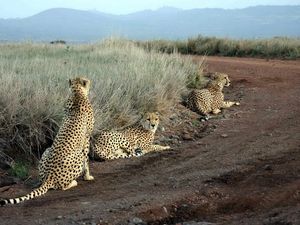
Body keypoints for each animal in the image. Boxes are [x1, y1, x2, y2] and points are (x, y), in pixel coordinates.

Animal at [0, 77, 94, 206]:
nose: (90, 81)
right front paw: (88, 176)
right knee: (61, 187)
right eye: (86, 81)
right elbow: (86, 159)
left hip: (47, 150)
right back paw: (73, 182)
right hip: (77, 156)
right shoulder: (87, 139)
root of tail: (49, 176)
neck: (77, 94)